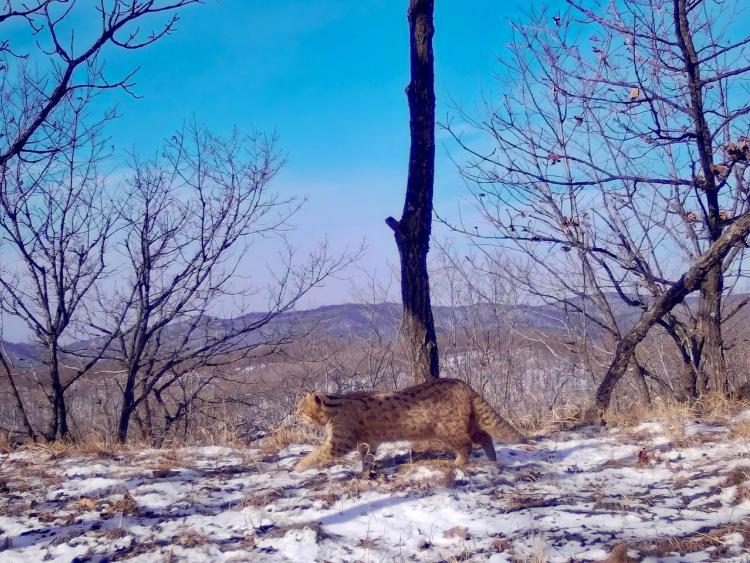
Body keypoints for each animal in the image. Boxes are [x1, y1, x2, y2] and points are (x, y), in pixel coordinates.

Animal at [294, 376, 524, 474]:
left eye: (301, 409)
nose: (294, 415)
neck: (335, 407)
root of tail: (461, 383)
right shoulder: (368, 441)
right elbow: (366, 457)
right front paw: (366, 470)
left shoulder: (340, 442)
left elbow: (317, 453)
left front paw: (298, 467)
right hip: (469, 423)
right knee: (486, 436)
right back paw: (492, 459)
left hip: (447, 429)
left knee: (467, 445)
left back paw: (457, 464)